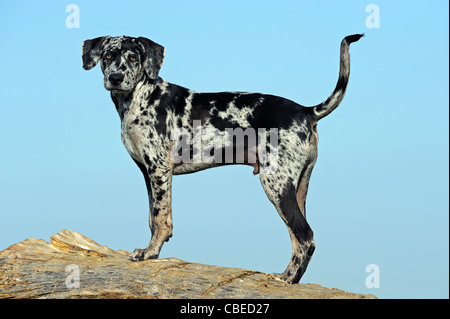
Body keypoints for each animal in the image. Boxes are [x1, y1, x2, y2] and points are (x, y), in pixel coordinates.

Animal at [81, 33, 362, 284]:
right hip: (297, 187)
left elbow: (160, 218)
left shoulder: (159, 170)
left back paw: (286, 278)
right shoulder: (147, 172)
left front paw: (150, 253)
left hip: (276, 184)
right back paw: (291, 279)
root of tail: (306, 111)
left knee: (305, 236)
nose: (116, 78)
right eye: (108, 56)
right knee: (299, 237)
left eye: (132, 57)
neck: (140, 97)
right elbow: (152, 217)